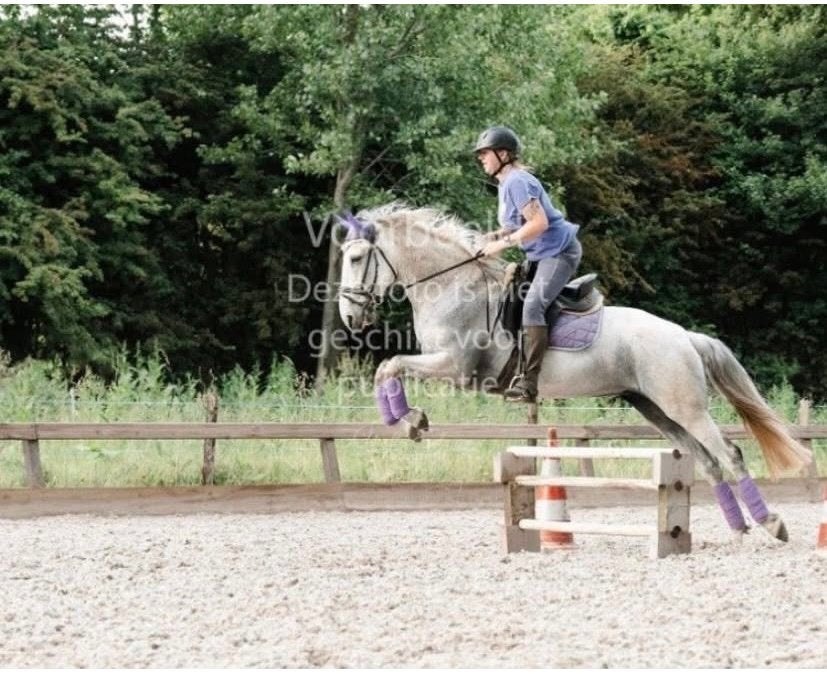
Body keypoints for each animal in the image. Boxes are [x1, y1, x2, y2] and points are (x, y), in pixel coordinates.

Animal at [336, 203, 812, 542]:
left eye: (357, 258)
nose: (349, 316)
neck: (451, 287)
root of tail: (684, 336)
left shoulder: (455, 366)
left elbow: (390, 365)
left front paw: (410, 420)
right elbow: (387, 369)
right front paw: (409, 421)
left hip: (685, 406)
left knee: (729, 454)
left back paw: (772, 523)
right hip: (657, 409)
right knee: (709, 461)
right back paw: (738, 528)